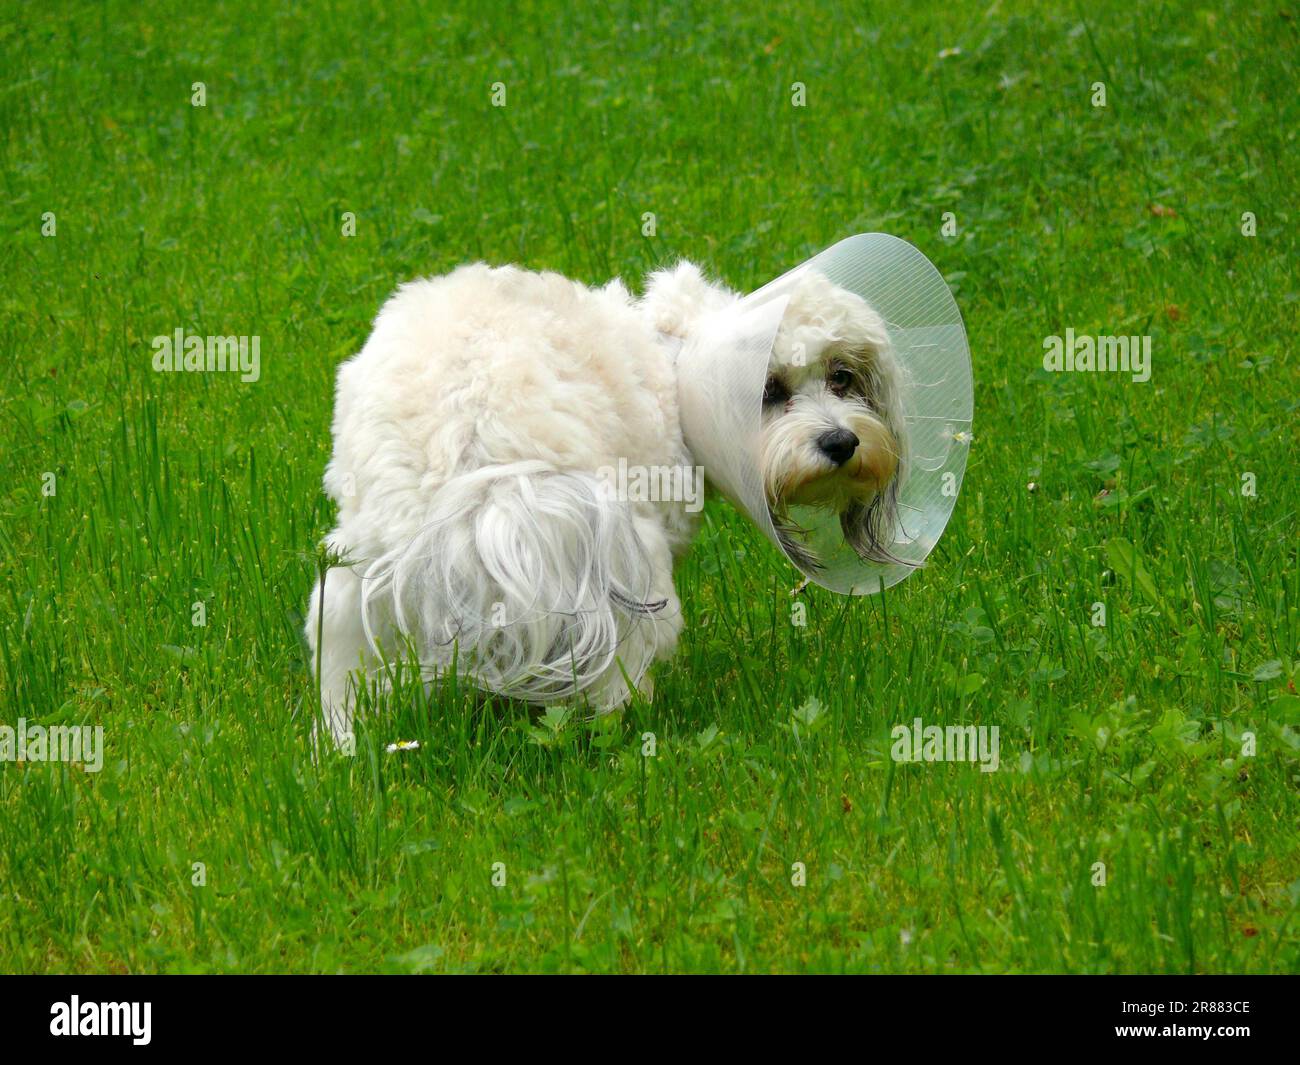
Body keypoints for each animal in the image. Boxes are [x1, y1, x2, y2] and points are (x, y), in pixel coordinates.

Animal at [304, 263, 899, 749]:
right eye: (770, 389)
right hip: (620, 564)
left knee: (340, 656)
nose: (842, 442)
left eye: (842, 376)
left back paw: (339, 743)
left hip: (364, 565)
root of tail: (477, 454)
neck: (673, 362)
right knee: (618, 675)